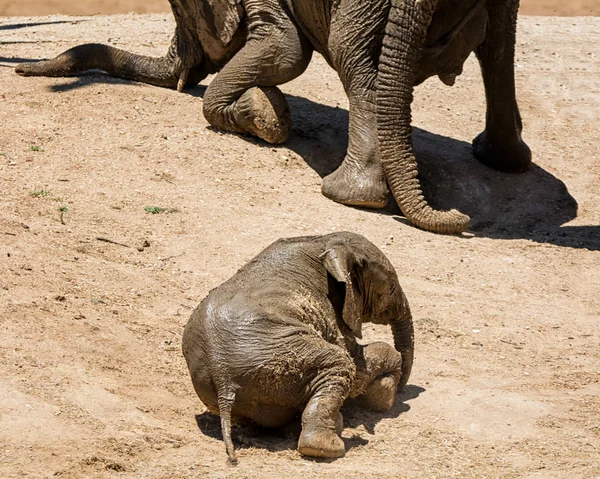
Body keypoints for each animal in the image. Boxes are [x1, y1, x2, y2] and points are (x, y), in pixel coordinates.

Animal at [17, 0, 528, 233]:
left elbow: (285, 53)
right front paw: (267, 112)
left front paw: (265, 114)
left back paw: (349, 195)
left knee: (354, 58)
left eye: (185, 14)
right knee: (499, 43)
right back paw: (502, 159)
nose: (22, 69)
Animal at [183, 234, 414, 464]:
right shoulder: (334, 310)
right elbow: (359, 364)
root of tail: (223, 381)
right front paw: (384, 393)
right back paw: (328, 446)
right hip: (285, 362)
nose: (402, 390)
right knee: (340, 362)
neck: (325, 241)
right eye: (391, 288)